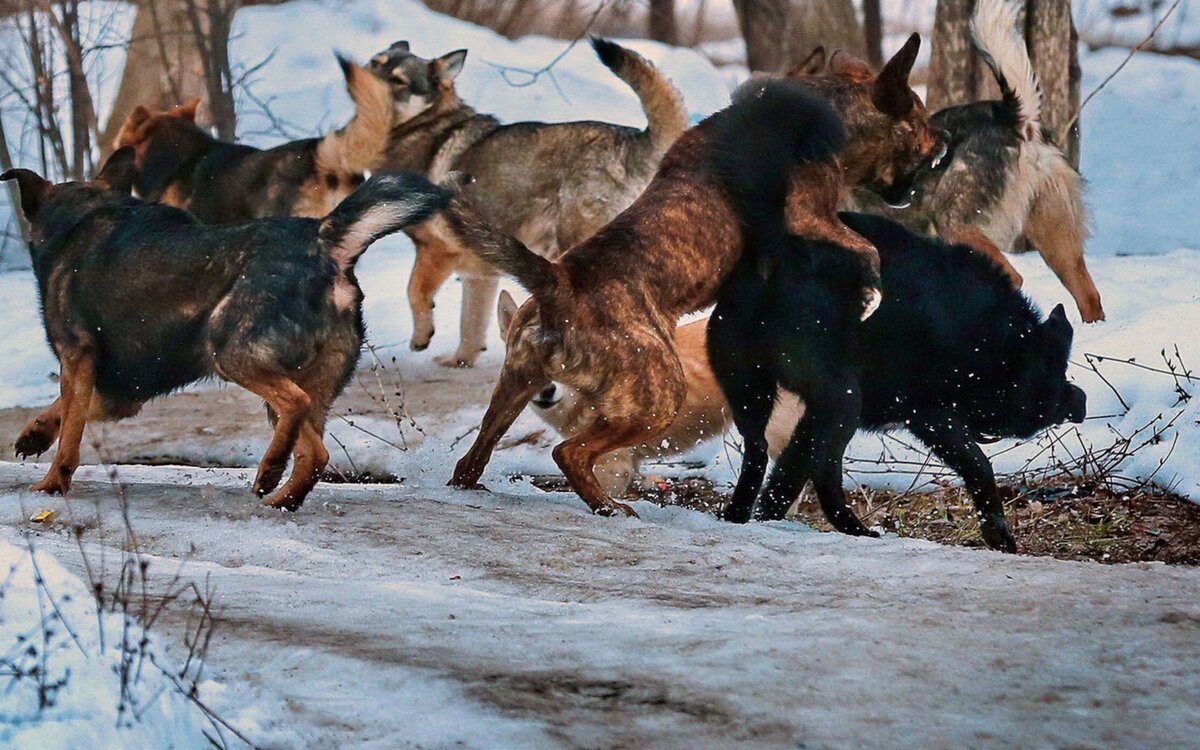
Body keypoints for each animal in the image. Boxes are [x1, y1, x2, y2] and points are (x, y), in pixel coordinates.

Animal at [3, 146, 451, 508]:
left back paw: (270, 470)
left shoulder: (78, 359)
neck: (84, 215)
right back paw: (280, 500)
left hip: (231, 352)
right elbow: (66, 410)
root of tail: (324, 241)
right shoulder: (123, 392)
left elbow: (71, 434)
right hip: (306, 377)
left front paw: (52, 484)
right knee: (315, 453)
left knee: (296, 406)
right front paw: (34, 435)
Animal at [372, 38, 696, 364]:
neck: (426, 126)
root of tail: (634, 143)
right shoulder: (479, 275)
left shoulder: (435, 249)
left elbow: (415, 292)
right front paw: (459, 362)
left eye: (398, 80)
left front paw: (421, 337)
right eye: (376, 63)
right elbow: (471, 325)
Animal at [441, 54, 945, 520]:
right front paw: (870, 295)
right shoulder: (811, 218)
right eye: (919, 115)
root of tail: (558, 282)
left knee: (474, 457)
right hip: (659, 397)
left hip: (516, 385)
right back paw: (609, 507)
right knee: (570, 453)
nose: (944, 139)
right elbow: (869, 250)